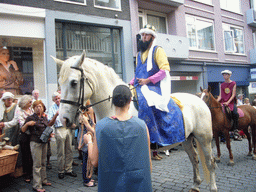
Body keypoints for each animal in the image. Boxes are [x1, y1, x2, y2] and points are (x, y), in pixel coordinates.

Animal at [53, 51, 217, 192]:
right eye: (59, 83)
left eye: (74, 83)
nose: (63, 119)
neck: (116, 107)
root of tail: (199, 100)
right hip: (187, 139)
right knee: (194, 159)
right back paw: (195, 185)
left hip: (204, 139)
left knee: (210, 162)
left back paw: (213, 187)